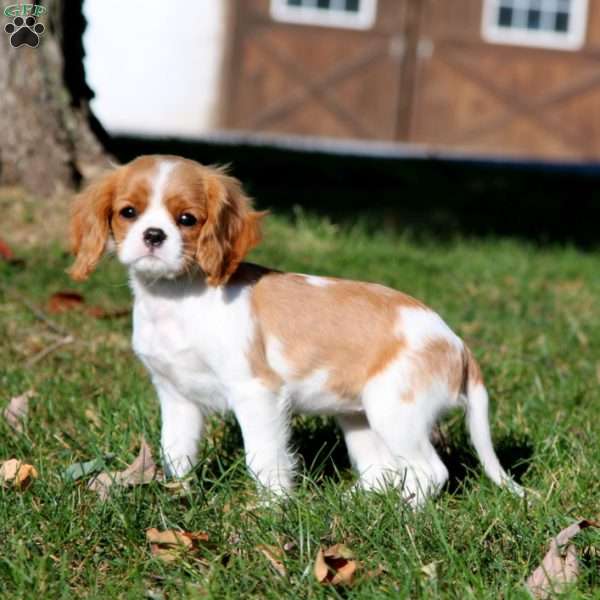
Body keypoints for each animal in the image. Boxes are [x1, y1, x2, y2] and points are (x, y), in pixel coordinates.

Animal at [69, 155, 520, 506]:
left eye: (187, 219)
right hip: (360, 419)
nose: (154, 235)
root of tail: (457, 344)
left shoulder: (256, 392)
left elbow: (263, 458)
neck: (177, 296)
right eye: (128, 212)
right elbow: (175, 452)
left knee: (430, 471)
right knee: (385, 471)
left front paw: (270, 511)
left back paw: (403, 515)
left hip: (396, 410)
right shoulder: (177, 397)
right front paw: (178, 495)